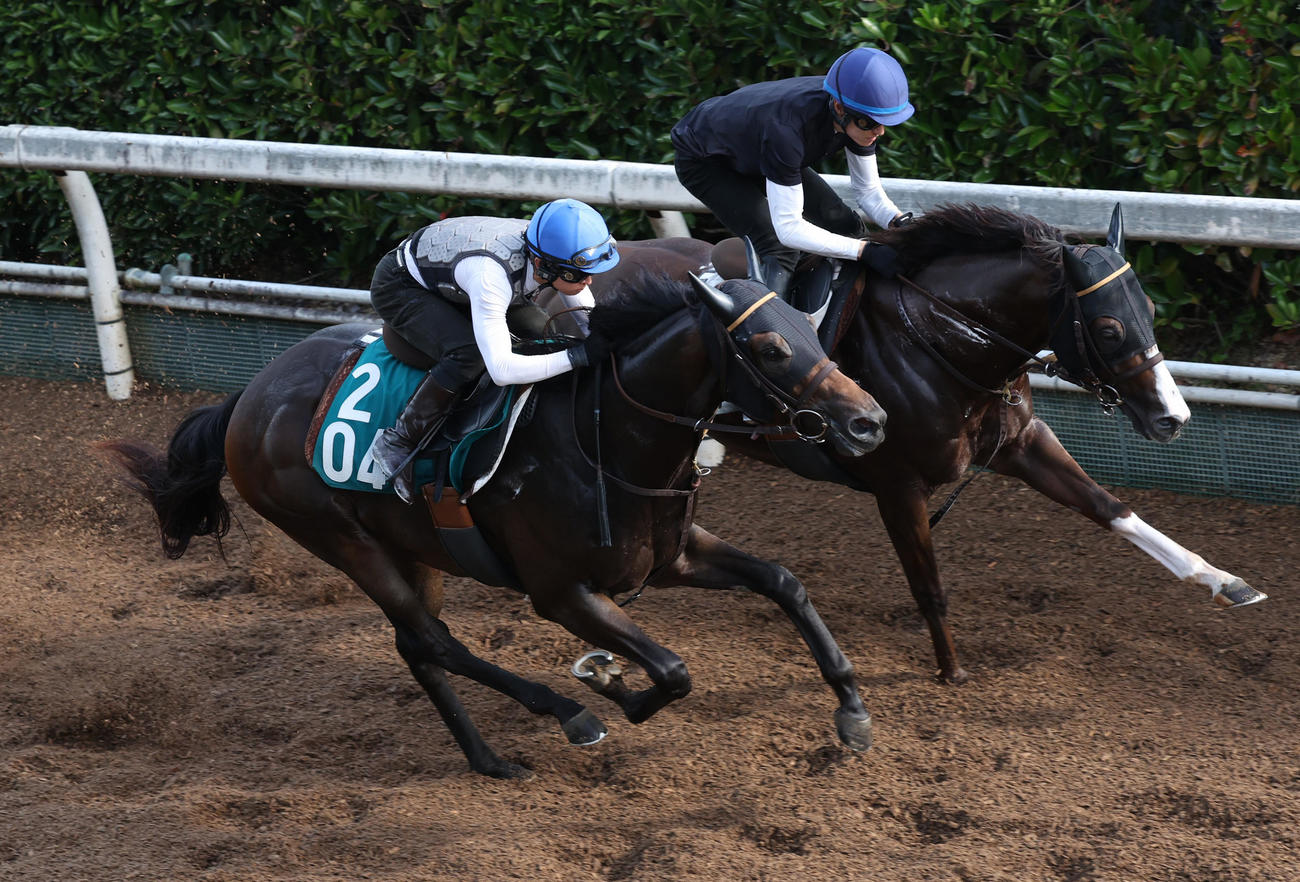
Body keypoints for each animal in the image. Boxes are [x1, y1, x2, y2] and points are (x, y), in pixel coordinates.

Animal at [100, 273, 888, 779]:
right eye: (772, 349)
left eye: (812, 330)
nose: (869, 422)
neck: (605, 440)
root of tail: (248, 397)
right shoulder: (561, 593)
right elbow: (672, 670)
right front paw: (607, 683)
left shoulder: (673, 557)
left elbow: (784, 583)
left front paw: (852, 710)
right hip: (341, 538)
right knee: (432, 640)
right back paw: (568, 714)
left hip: (411, 544)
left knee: (417, 645)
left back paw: (488, 759)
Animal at [594, 203, 1267, 685]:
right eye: (1105, 327)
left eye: (1148, 307)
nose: (1173, 417)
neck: (943, 340)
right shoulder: (898, 485)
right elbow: (929, 585)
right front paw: (951, 671)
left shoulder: (1022, 443)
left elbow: (1113, 508)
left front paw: (1225, 580)